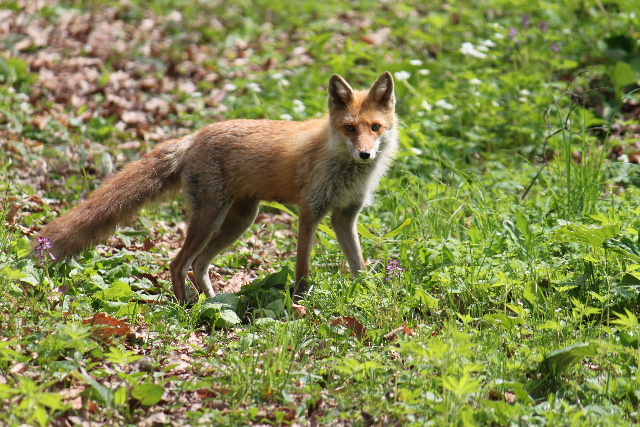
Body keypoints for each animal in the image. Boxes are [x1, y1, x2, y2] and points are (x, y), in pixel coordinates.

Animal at [37, 71, 398, 304]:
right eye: (349, 128)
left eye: (375, 127)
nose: (365, 154)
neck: (345, 169)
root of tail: (193, 137)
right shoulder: (311, 211)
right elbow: (303, 267)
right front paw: (299, 301)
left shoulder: (344, 216)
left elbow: (358, 264)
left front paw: (368, 292)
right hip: (211, 218)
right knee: (178, 263)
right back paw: (186, 307)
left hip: (239, 221)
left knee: (199, 264)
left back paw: (212, 303)